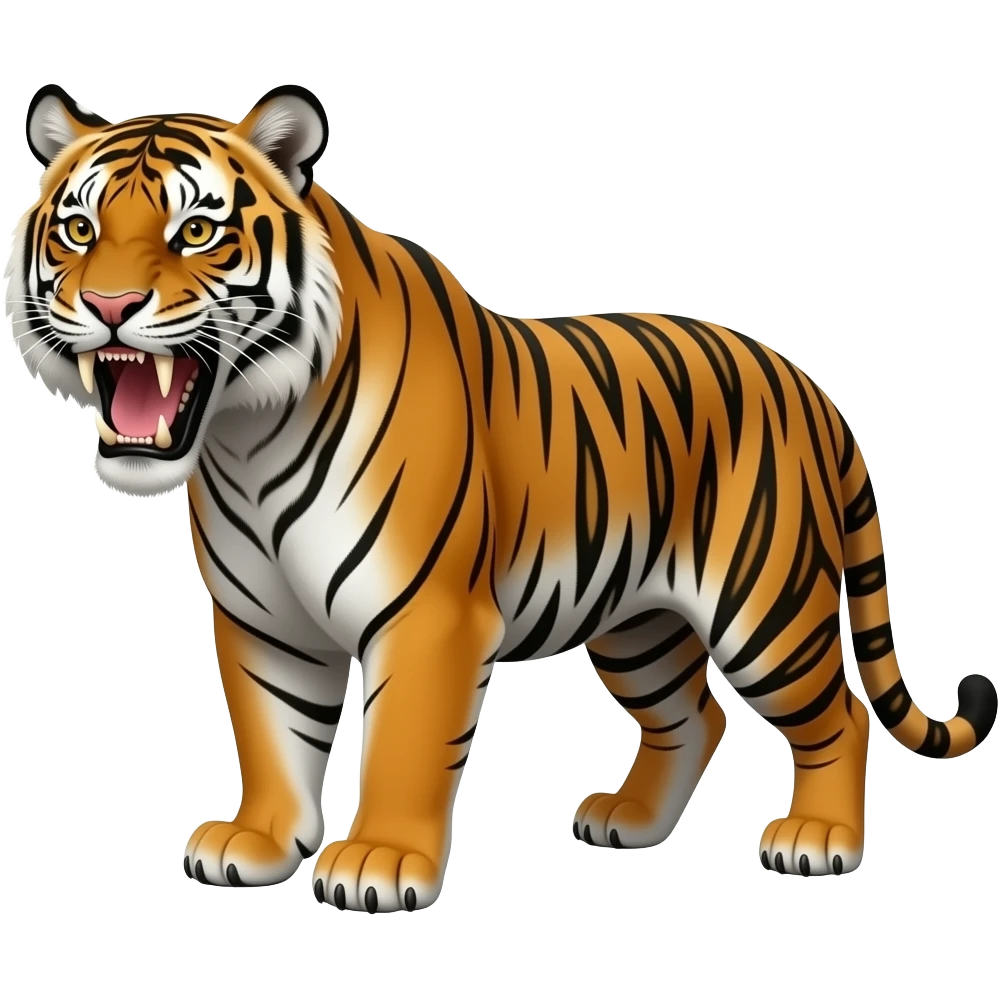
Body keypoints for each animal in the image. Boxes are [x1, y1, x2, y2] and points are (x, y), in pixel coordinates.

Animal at [5, 82, 996, 912]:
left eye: (196, 233)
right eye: (79, 230)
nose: (110, 304)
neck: (246, 431)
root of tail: (804, 383)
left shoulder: (428, 613)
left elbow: (403, 741)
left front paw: (378, 861)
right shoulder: (263, 618)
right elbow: (272, 732)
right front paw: (257, 842)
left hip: (766, 606)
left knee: (837, 714)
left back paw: (818, 838)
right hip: (637, 621)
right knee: (695, 714)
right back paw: (629, 821)